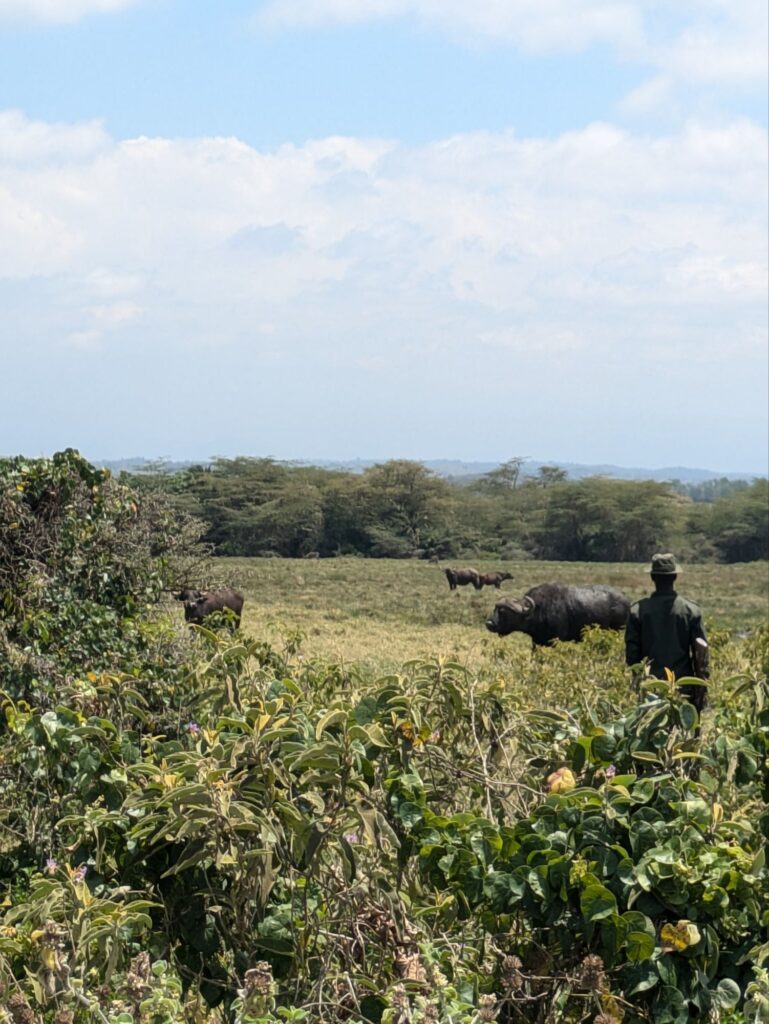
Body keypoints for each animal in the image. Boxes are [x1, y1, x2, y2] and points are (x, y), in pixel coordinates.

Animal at [485, 582, 630, 646]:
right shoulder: (536, 641)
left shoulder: (555, 640)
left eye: (503, 612)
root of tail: (625, 600)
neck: (540, 609)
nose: (489, 624)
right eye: (495, 609)